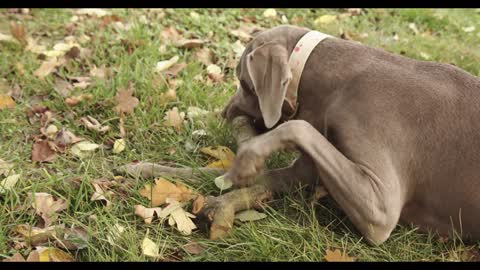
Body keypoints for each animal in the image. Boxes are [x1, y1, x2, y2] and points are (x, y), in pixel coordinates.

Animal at [220, 24, 480, 245]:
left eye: (243, 82)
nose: (224, 112)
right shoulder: (312, 167)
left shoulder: (380, 208)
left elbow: (298, 126)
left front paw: (247, 160)